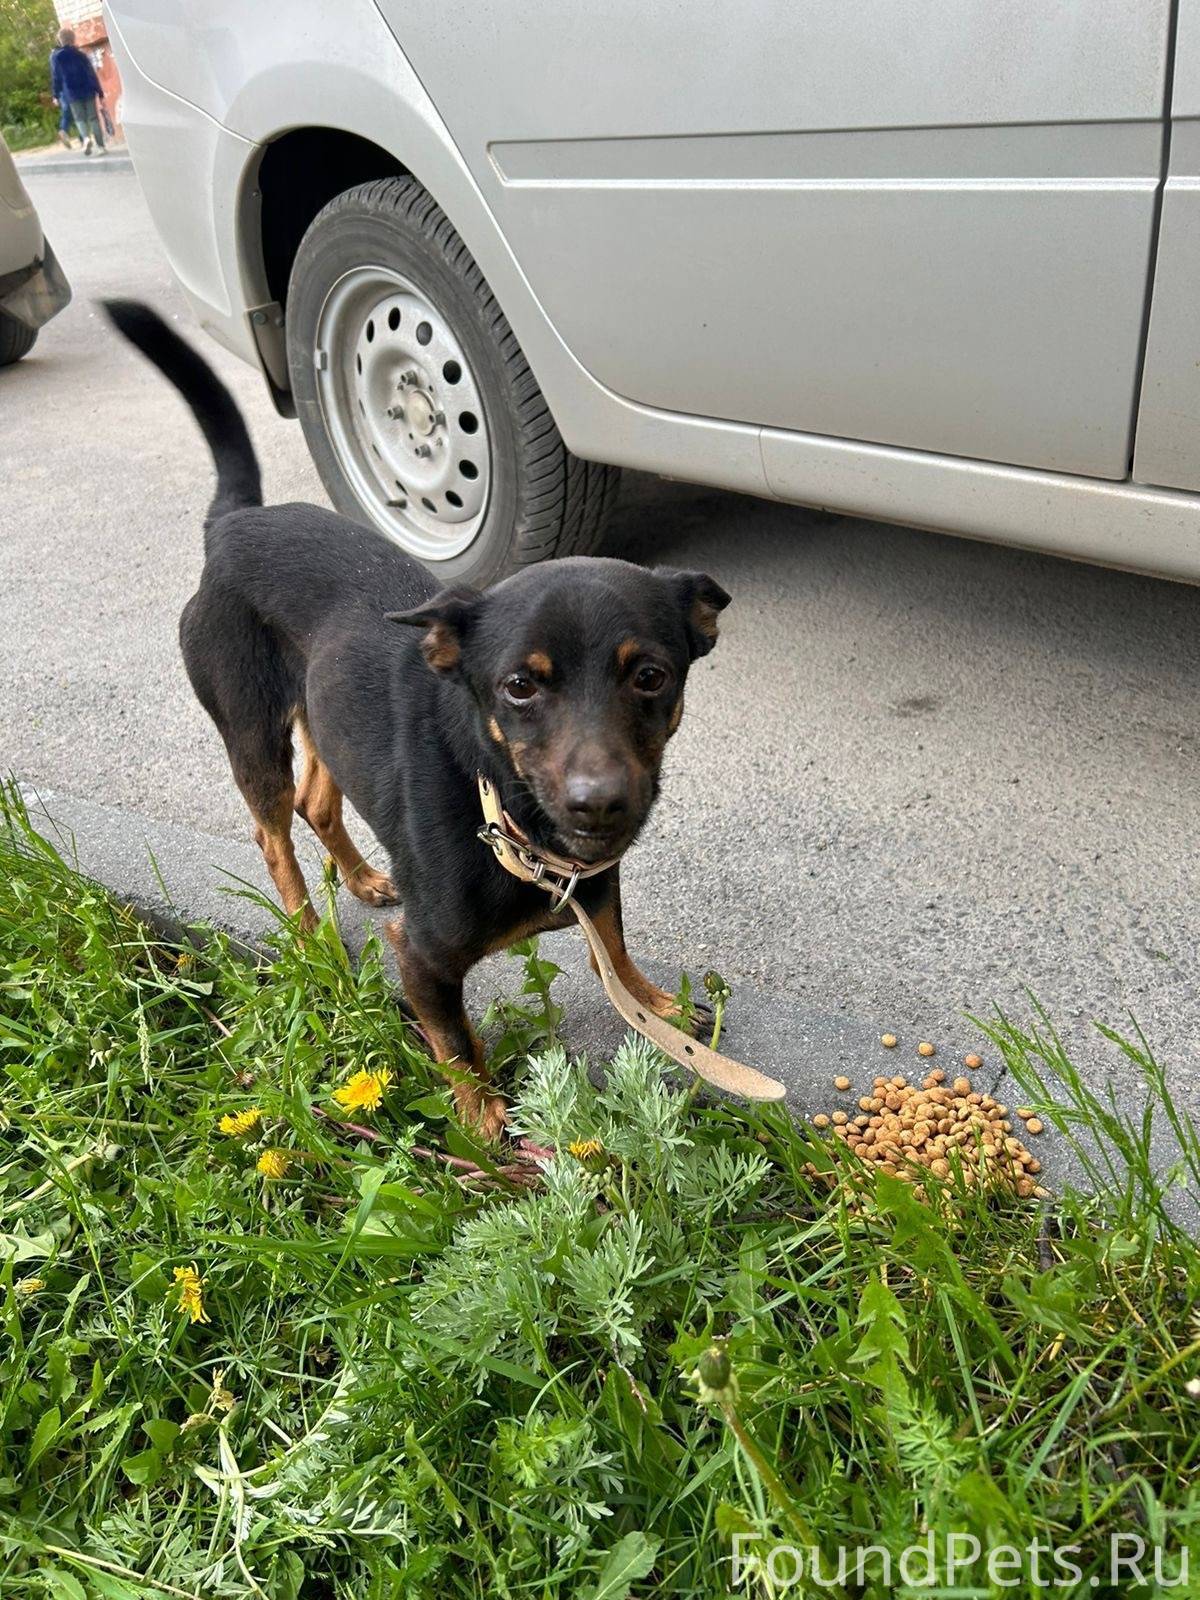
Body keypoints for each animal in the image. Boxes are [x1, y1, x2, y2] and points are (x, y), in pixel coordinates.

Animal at [103, 302, 729, 1139]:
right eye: (518, 687)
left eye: (652, 676)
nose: (599, 803)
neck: (502, 812)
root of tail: (234, 525)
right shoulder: (423, 958)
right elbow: (454, 1039)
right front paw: (483, 1118)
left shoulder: (597, 885)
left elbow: (615, 946)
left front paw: (655, 1004)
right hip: (252, 734)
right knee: (274, 834)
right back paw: (311, 938)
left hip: (326, 715)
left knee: (318, 802)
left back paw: (366, 877)